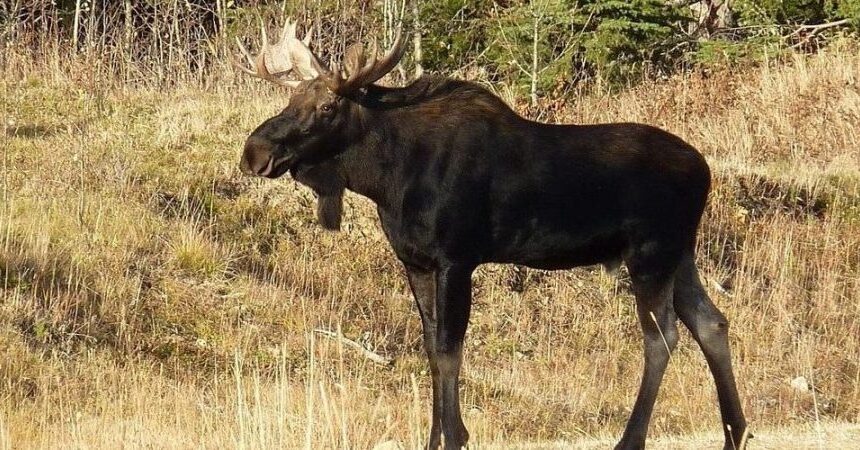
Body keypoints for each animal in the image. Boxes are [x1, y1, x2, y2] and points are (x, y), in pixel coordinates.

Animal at [234, 19, 749, 450]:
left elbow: (449, 349)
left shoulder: (457, 258)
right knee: (711, 322)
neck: (387, 177)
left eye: (326, 106)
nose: (254, 151)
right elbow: (430, 346)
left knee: (662, 336)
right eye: (289, 102)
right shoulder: (415, 261)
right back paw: (735, 432)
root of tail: (705, 171)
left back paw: (632, 439)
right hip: (681, 255)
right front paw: (436, 437)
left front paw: (454, 437)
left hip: (650, 255)